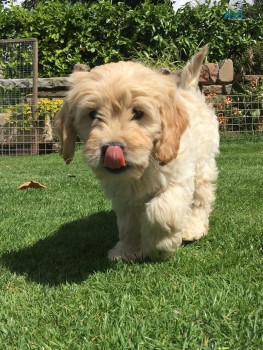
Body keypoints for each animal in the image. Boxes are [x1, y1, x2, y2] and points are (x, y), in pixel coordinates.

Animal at [56, 45, 221, 262]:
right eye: (92, 114)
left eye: (138, 113)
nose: (112, 147)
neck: (144, 167)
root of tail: (188, 91)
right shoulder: (123, 196)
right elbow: (129, 223)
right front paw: (128, 250)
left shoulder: (178, 179)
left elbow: (161, 212)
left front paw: (159, 246)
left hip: (203, 164)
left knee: (201, 198)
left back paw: (193, 228)